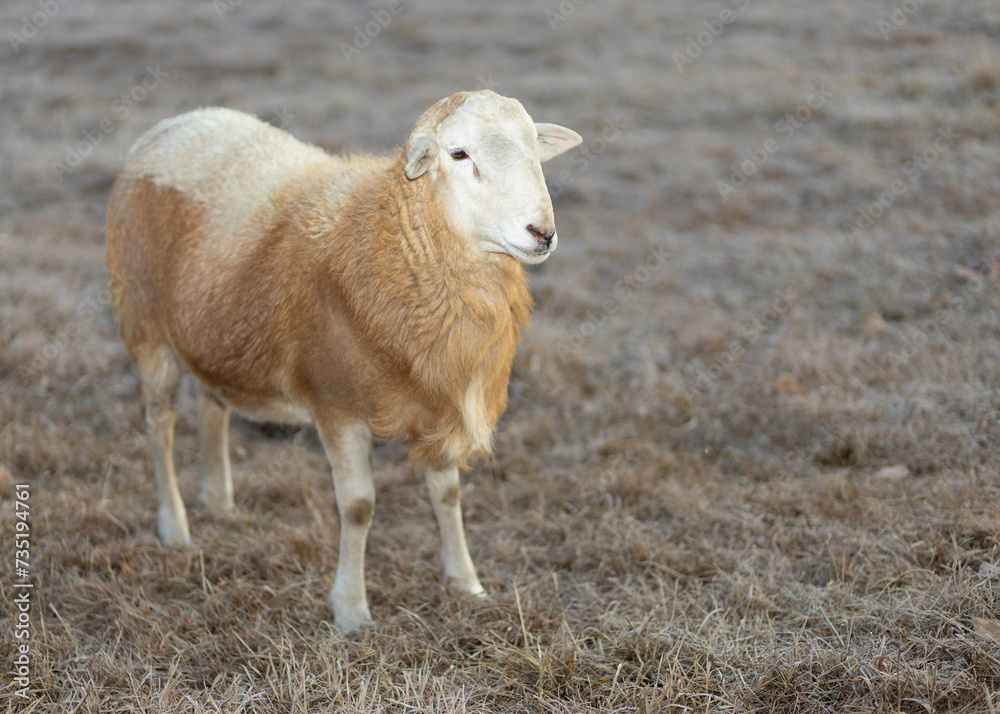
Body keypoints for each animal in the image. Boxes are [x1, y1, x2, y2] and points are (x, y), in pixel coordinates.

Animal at [105, 90, 582, 630]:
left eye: (534, 148)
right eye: (459, 154)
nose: (541, 233)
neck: (394, 241)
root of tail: (178, 123)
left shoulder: (437, 401)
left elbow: (447, 495)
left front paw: (466, 582)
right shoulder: (337, 406)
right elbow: (357, 507)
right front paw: (351, 609)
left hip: (216, 330)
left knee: (212, 403)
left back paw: (220, 501)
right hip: (143, 324)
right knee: (159, 425)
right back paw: (175, 526)